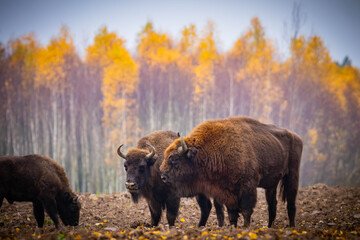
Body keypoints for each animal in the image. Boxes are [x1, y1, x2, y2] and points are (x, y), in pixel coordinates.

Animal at [159, 117, 302, 228]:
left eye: (174, 158)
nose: (163, 176)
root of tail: (296, 137)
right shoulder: (226, 192)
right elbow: (232, 213)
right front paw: (233, 227)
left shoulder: (247, 187)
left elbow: (246, 210)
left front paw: (245, 227)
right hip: (271, 184)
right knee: (272, 205)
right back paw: (269, 227)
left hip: (292, 175)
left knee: (291, 203)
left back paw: (291, 227)